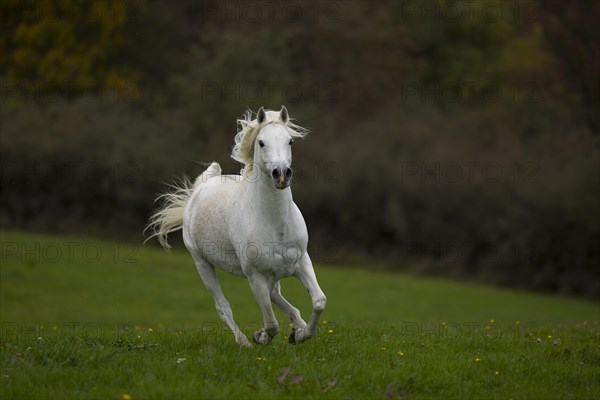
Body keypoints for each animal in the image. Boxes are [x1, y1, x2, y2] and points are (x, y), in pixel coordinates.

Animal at [147, 106, 328, 346]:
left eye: (290, 141)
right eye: (261, 142)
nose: (281, 174)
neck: (276, 224)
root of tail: (200, 189)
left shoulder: (301, 262)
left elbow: (319, 301)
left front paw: (300, 334)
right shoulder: (255, 276)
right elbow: (271, 325)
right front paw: (260, 336)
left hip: (275, 272)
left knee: (278, 296)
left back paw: (297, 325)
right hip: (202, 264)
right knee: (223, 307)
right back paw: (243, 342)